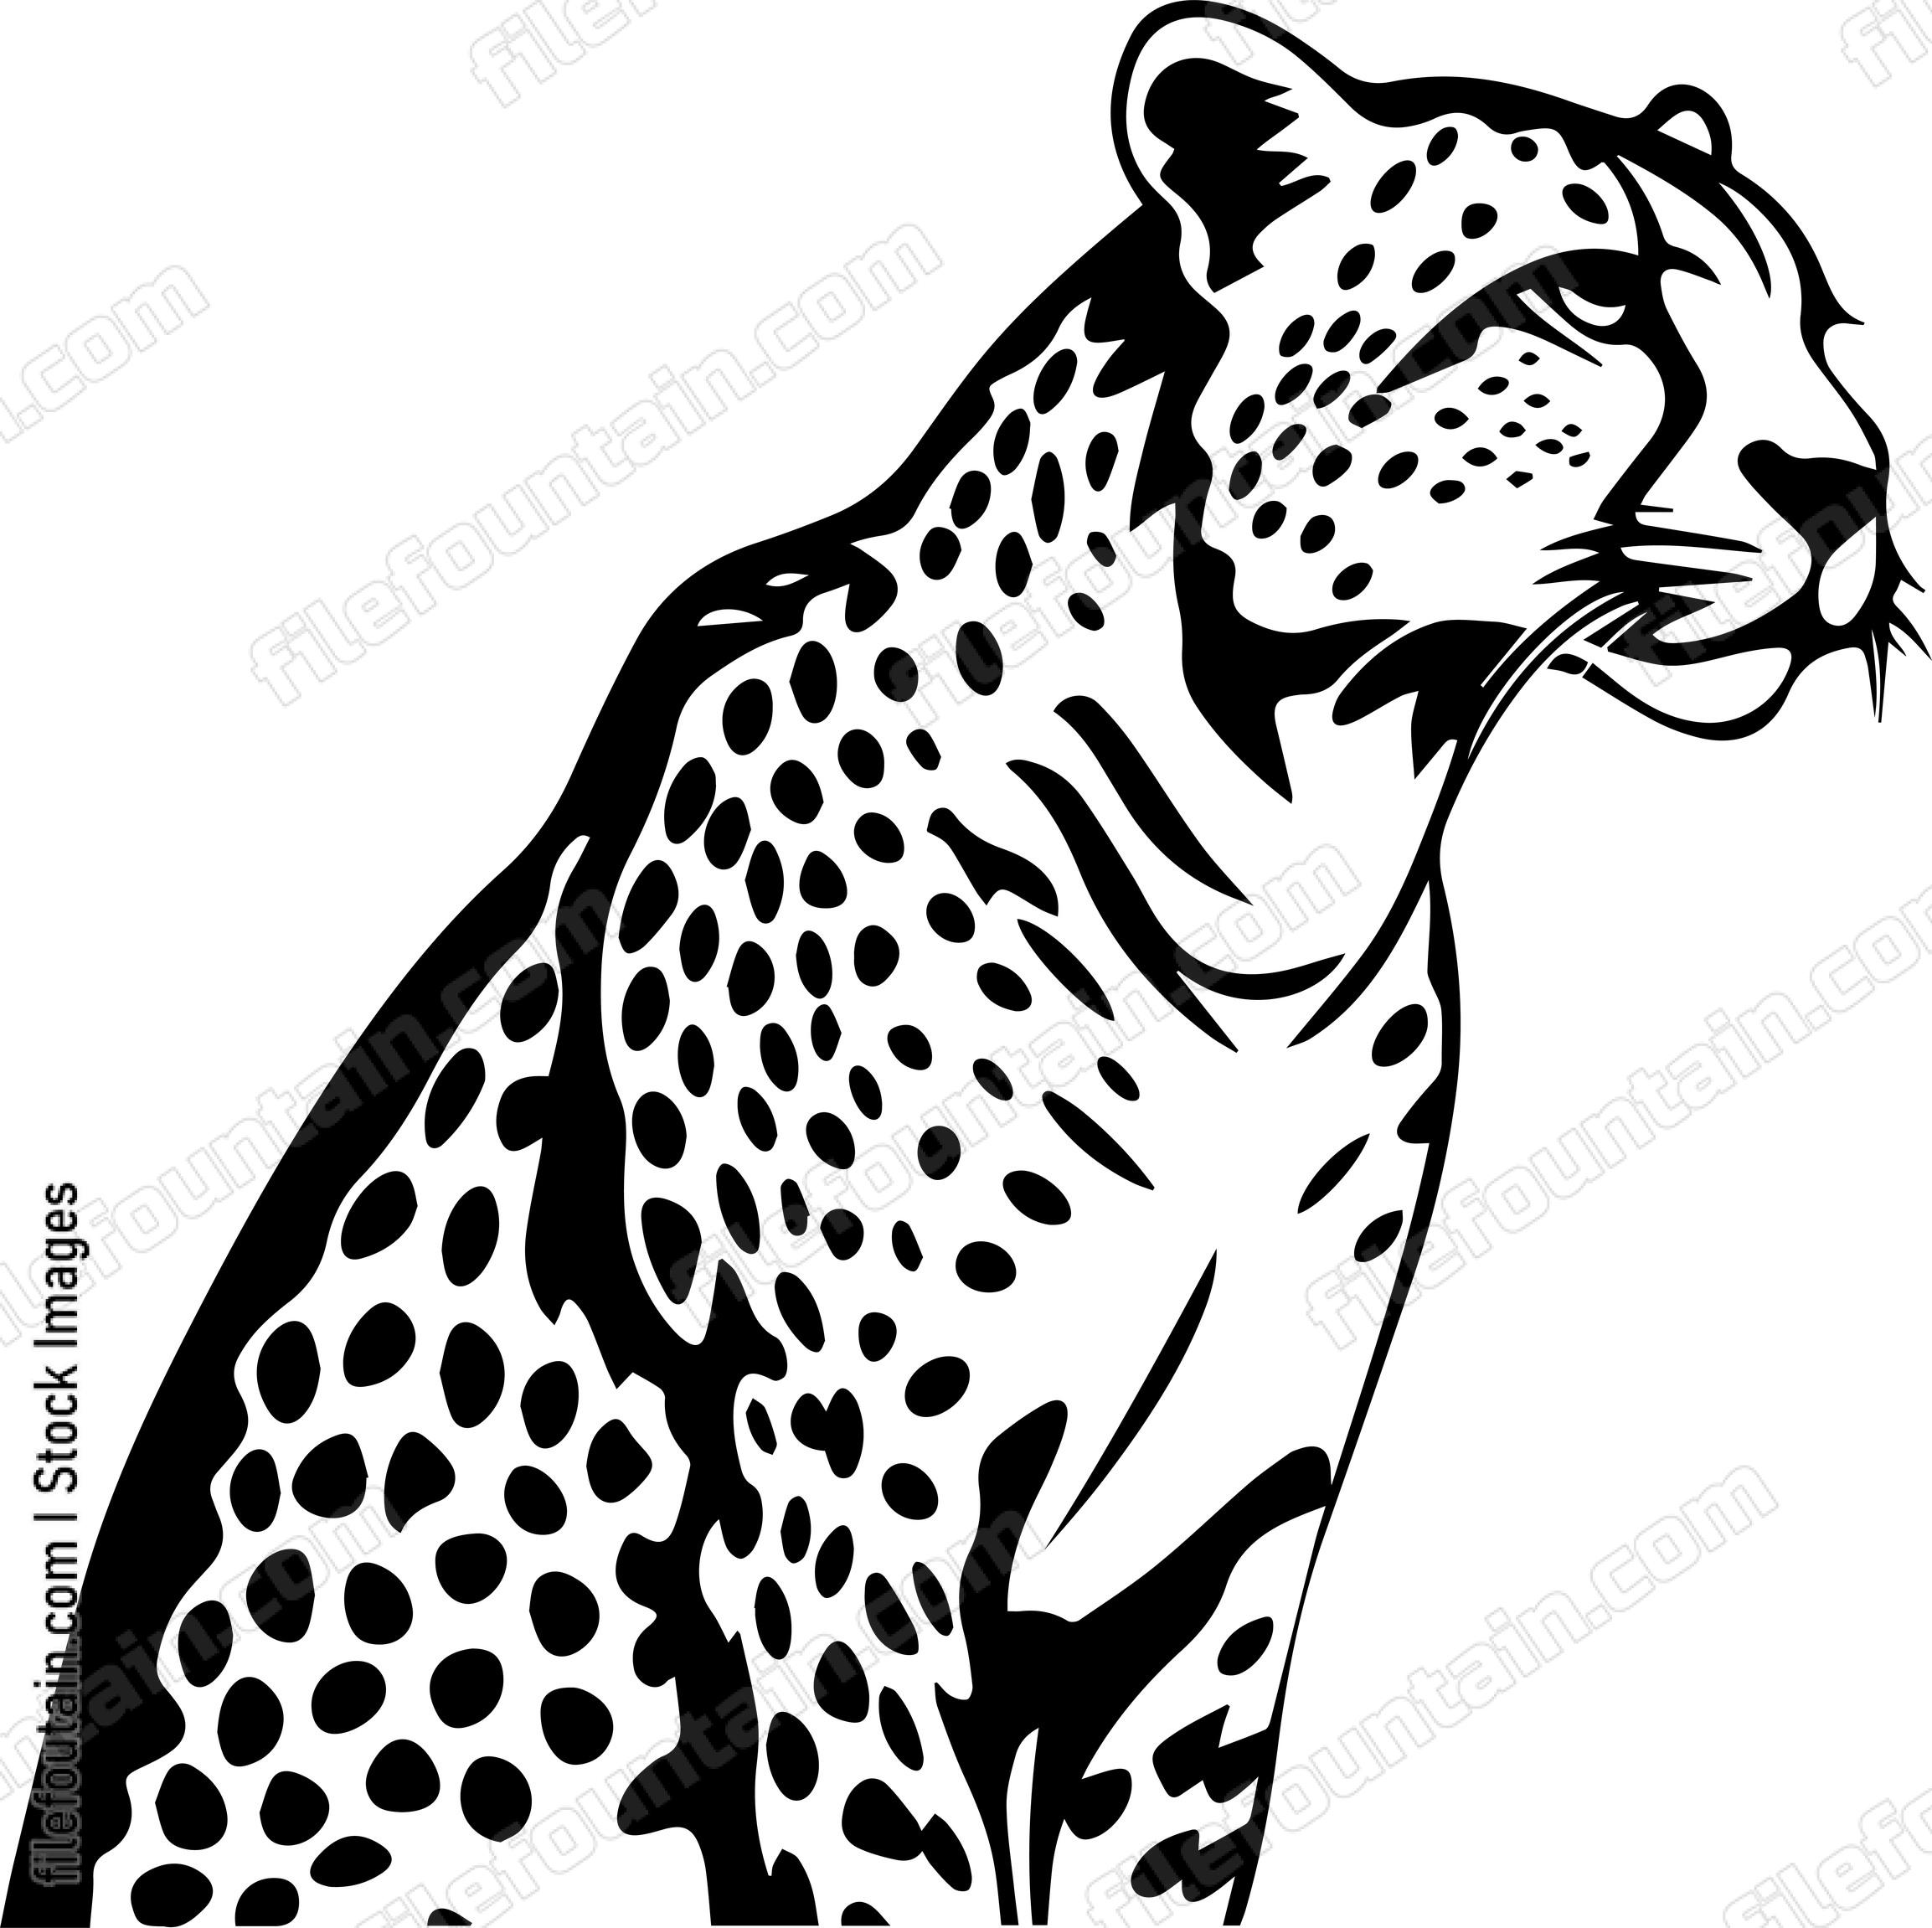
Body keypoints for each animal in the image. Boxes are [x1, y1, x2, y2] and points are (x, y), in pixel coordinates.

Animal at [11, 5, 1910, 1925]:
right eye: (1588, 296)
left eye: (1827, 329)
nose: (1850, 483)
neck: (1284, 865)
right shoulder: (848, 1514)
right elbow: (890, 1856)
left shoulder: (1227, 1545)